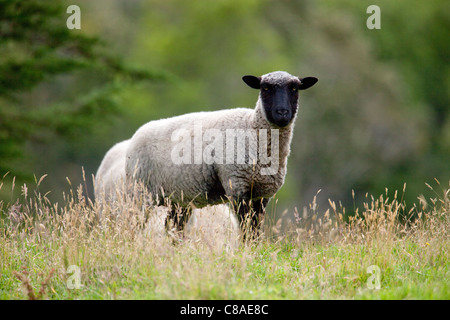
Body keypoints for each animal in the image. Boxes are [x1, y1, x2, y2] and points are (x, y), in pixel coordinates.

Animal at [125, 70, 318, 240]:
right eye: (265, 88)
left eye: (295, 88)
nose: (282, 113)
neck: (251, 130)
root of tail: (136, 136)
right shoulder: (237, 186)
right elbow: (246, 228)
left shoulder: (262, 194)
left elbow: (255, 230)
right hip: (139, 193)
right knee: (131, 224)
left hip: (179, 198)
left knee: (172, 227)